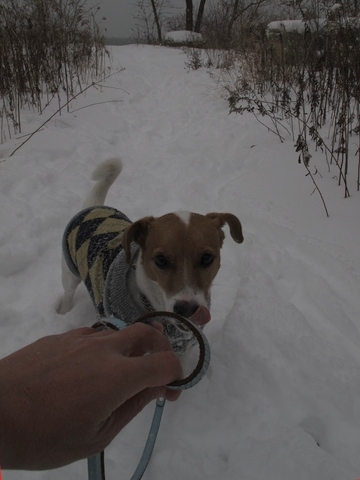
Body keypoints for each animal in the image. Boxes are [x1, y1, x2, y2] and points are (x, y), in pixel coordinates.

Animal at [57, 159, 243, 350]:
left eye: (207, 258)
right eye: (161, 260)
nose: (187, 309)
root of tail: (93, 207)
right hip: (70, 272)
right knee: (68, 293)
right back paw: (63, 311)